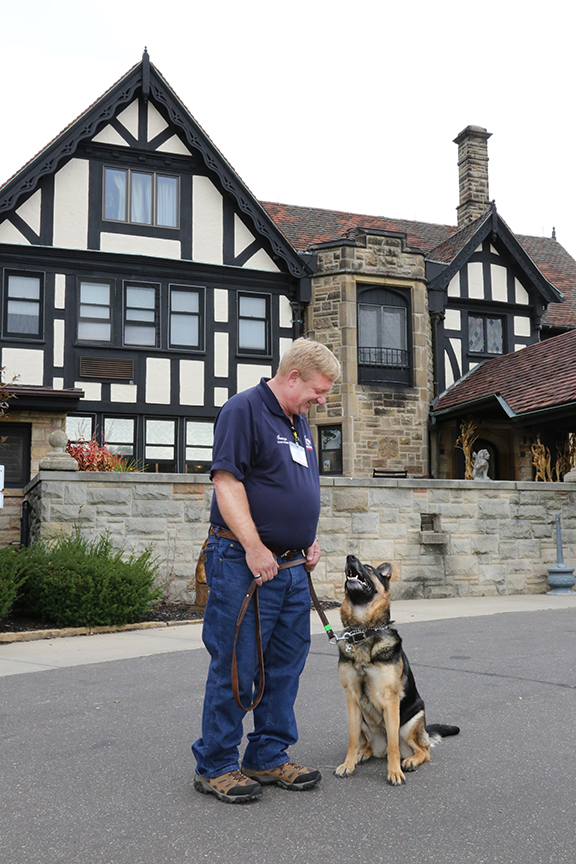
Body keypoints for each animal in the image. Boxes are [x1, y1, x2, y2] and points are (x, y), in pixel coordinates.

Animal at [332, 556, 460, 788]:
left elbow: (393, 745)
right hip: (364, 722)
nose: (349, 557)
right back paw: (363, 753)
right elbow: (352, 740)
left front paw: (394, 772)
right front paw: (348, 764)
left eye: (369, 567)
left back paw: (410, 761)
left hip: (410, 724)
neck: (363, 631)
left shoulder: (390, 700)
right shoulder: (351, 699)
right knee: (368, 745)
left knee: (423, 750)